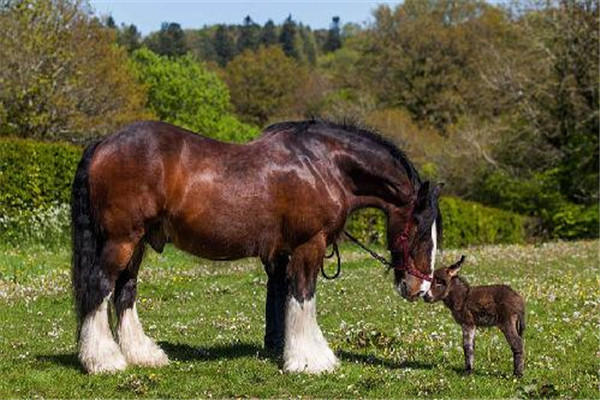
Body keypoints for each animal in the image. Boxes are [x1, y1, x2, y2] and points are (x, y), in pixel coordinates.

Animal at [71, 119, 440, 376]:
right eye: (422, 231)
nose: (420, 289)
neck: (323, 165)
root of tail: (103, 144)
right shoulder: (308, 245)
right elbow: (303, 296)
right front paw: (311, 360)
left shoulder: (282, 255)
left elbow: (284, 300)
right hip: (122, 240)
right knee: (100, 287)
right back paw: (103, 360)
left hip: (137, 244)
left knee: (125, 291)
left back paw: (143, 355)